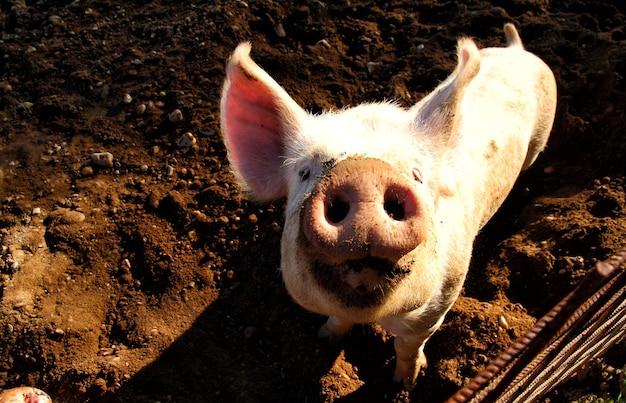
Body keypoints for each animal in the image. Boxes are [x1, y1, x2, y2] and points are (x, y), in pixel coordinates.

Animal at [219, 23, 556, 390]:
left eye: (417, 174)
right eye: (304, 172)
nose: (363, 175)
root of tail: (517, 48)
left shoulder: (438, 306)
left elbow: (407, 346)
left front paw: (405, 383)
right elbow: (337, 319)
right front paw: (325, 339)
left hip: (541, 135)